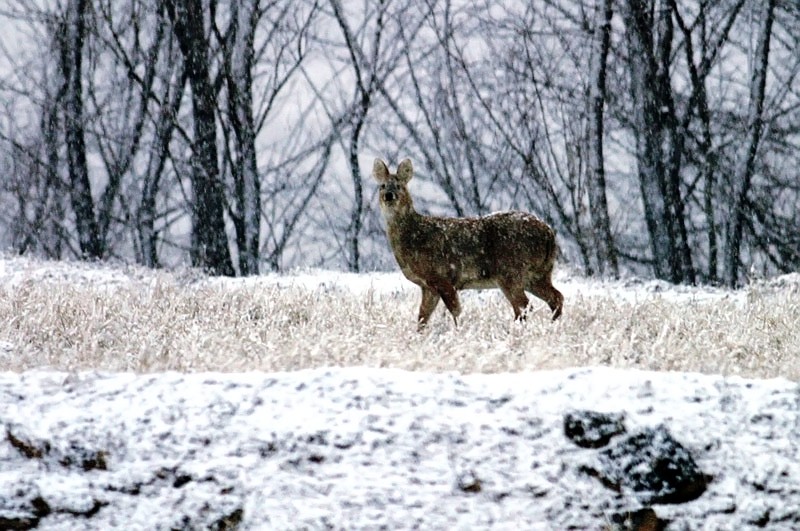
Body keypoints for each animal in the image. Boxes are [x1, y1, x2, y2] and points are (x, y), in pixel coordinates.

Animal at [374, 158, 564, 332]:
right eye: (382, 186)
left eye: (399, 186)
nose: (389, 195)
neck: (413, 236)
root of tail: (549, 233)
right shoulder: (428, 286)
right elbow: (422, 317)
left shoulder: (441, 276)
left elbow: (456, 311)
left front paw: (459, 332)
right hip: (539, 273)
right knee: (555, 298)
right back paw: (553, 326)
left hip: (511, 271)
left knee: (524, 305)